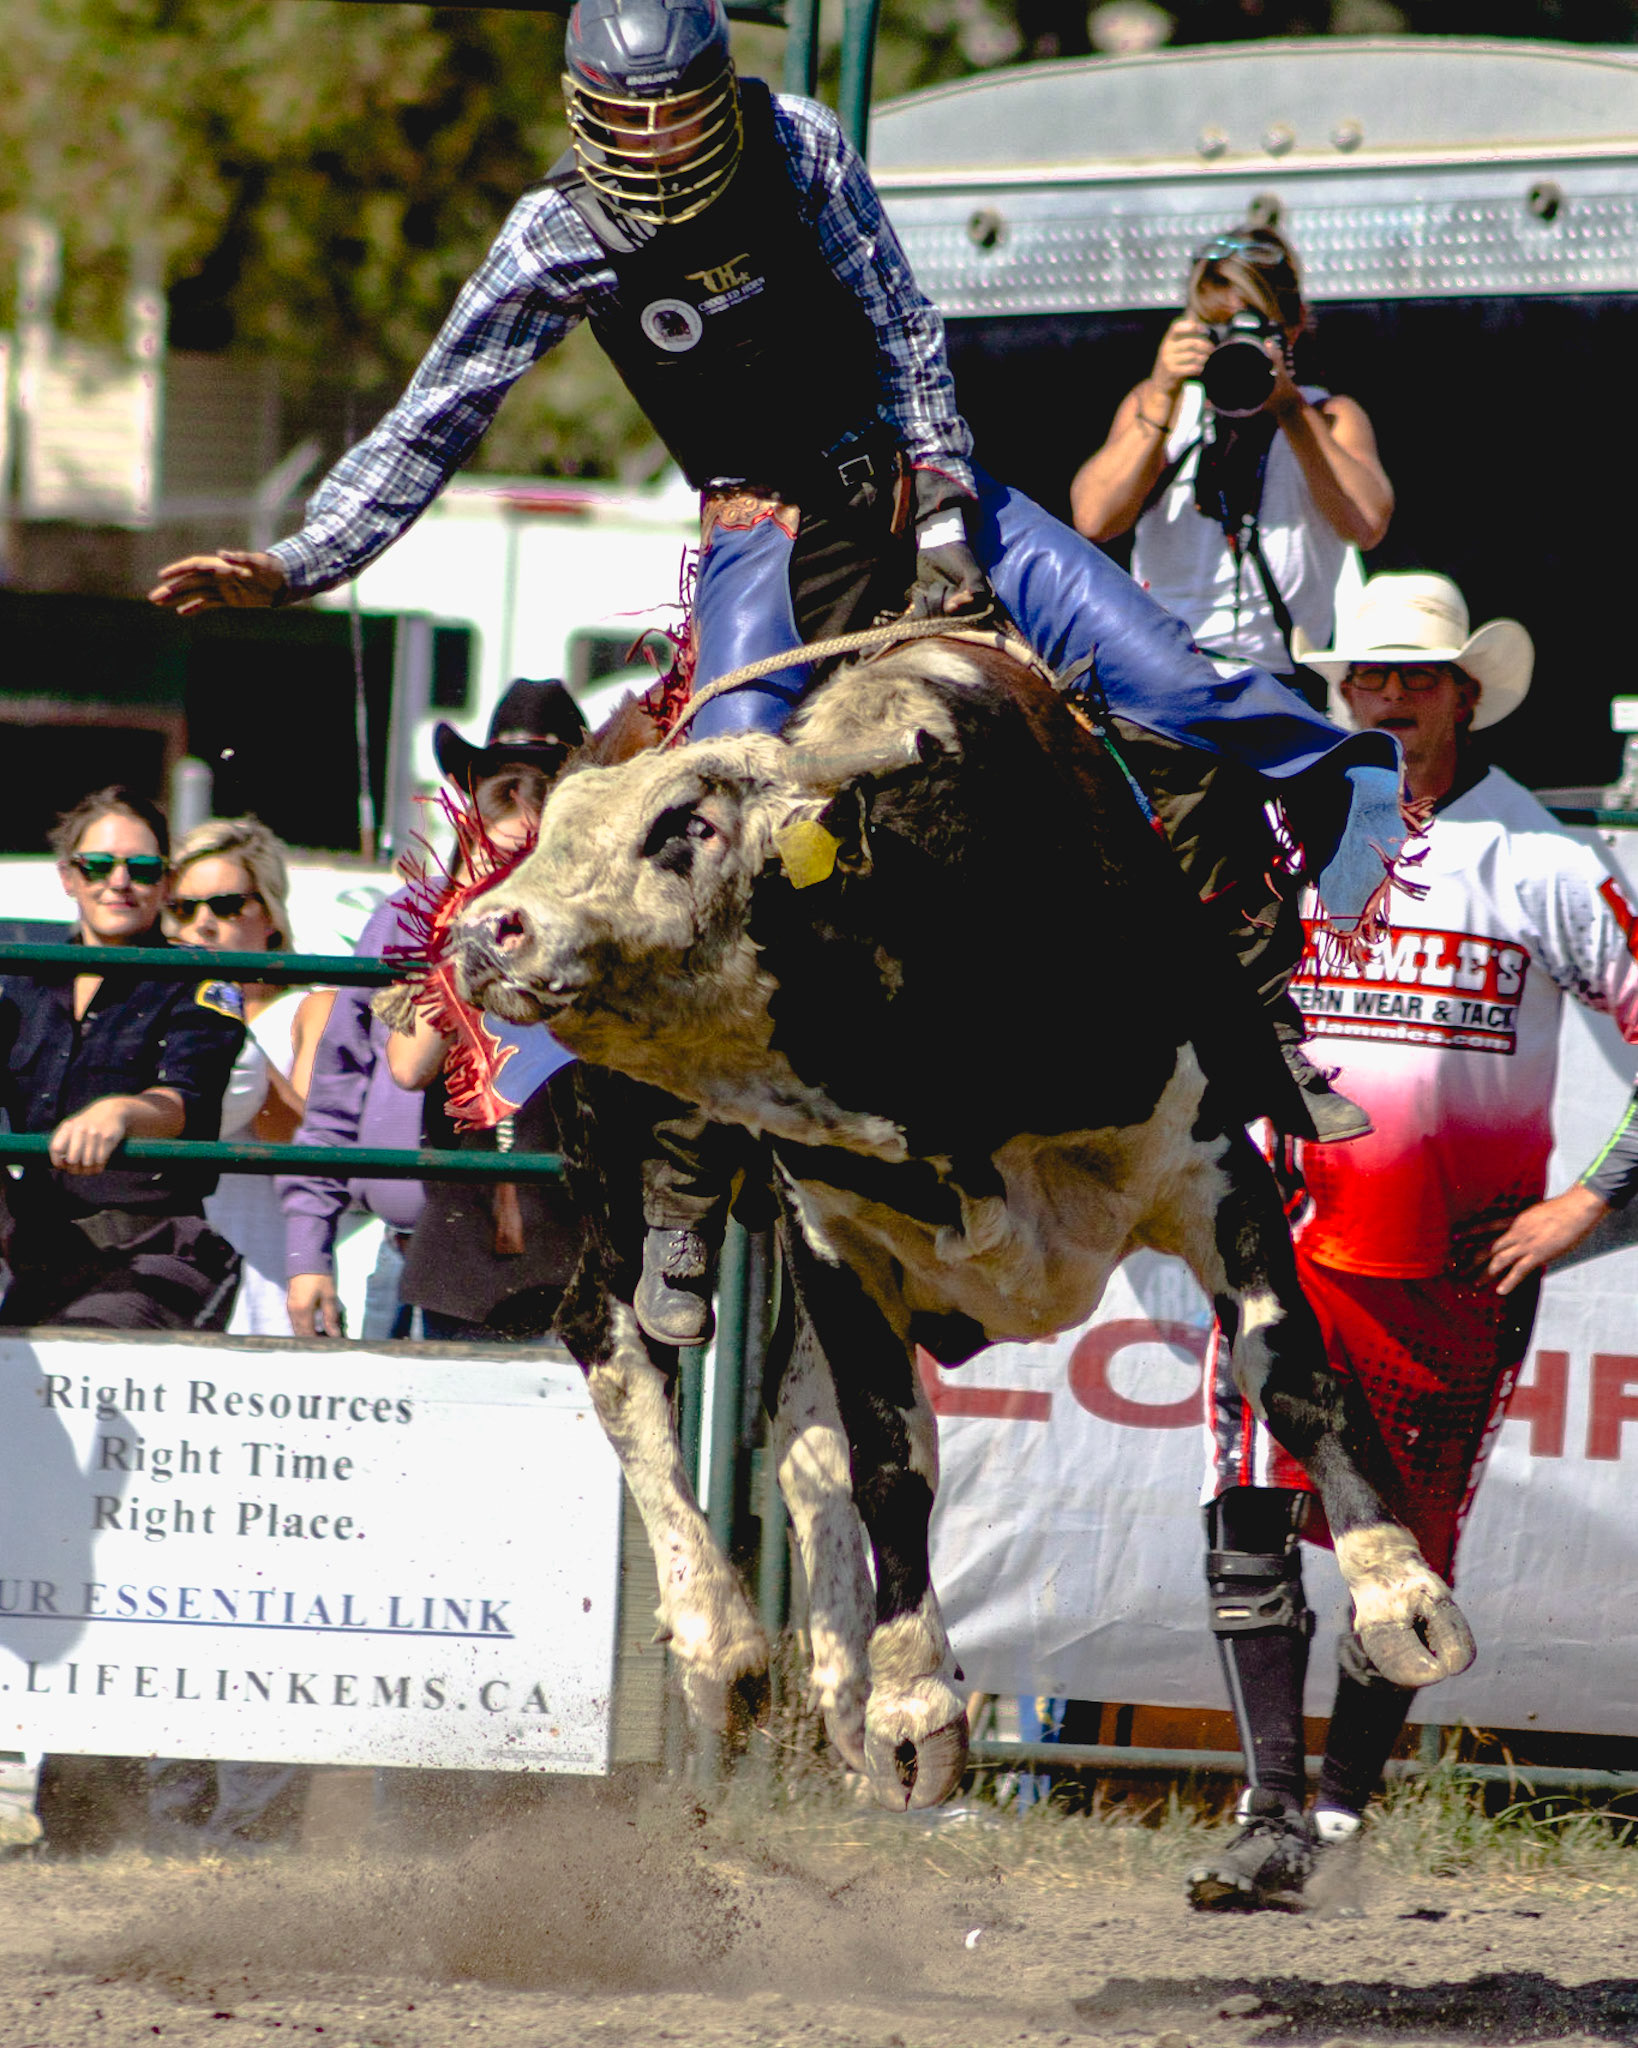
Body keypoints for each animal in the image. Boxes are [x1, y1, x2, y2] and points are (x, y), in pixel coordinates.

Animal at [449, 635, 1477, 1812]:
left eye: (689, 825)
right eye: (564, 824)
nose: (485, 929)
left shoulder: (1214, 1162)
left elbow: (1292, 1370)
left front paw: (1404, 1598)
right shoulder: (832, 1233)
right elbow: (892, 1461)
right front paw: (912, 1704)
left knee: (792, 1416)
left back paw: (838, 1690)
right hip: (613, 1149)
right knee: (610, 1334)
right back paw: (726, 1646)